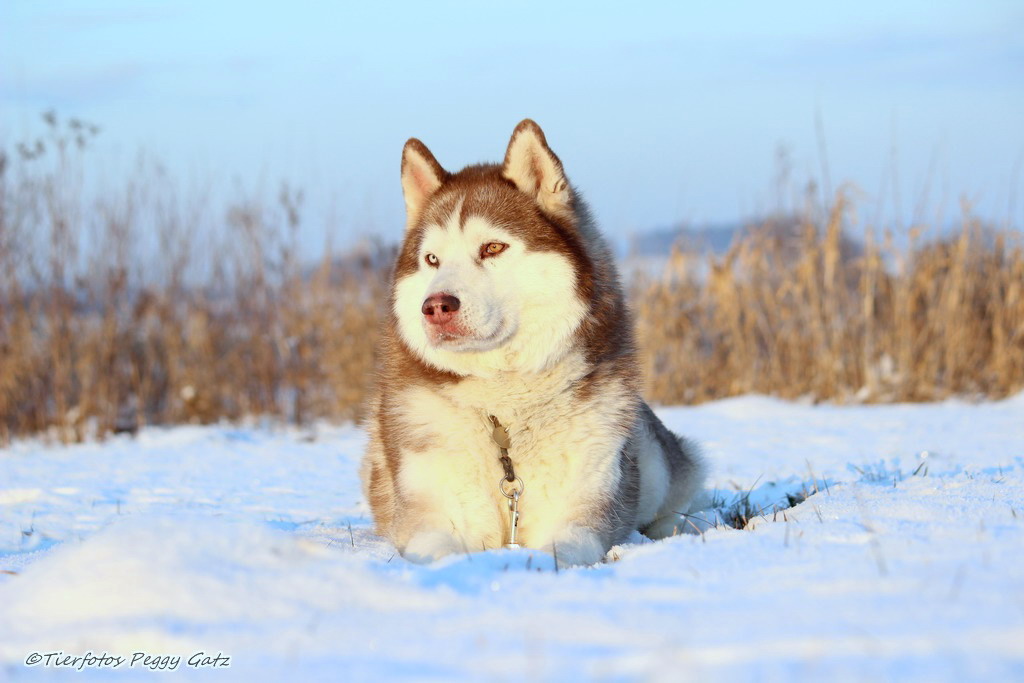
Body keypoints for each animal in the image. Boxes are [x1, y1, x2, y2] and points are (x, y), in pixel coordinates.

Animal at [364, 121, 708, 565]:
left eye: (492, 247)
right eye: (432, 260)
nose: (435, 307)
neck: (504, 406)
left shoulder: (584, 510)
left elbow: (563, 552)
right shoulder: (429, 515)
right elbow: (441, 555)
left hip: (649, 458)